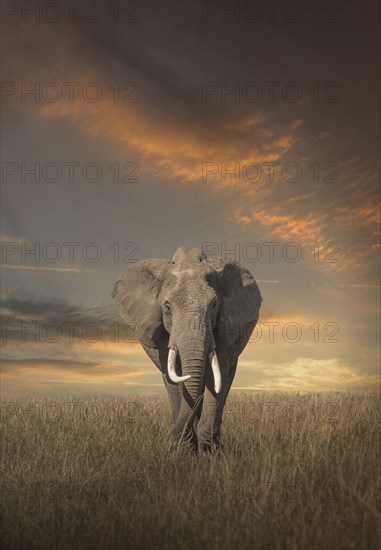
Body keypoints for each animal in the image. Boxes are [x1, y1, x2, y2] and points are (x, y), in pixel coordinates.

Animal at [111, 248, 262, 454]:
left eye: (214, 305)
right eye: (167, 306)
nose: (168, 442)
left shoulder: (225, 327)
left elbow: (216, 376)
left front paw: (209, 452)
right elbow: (176, 377)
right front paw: (185, 449)